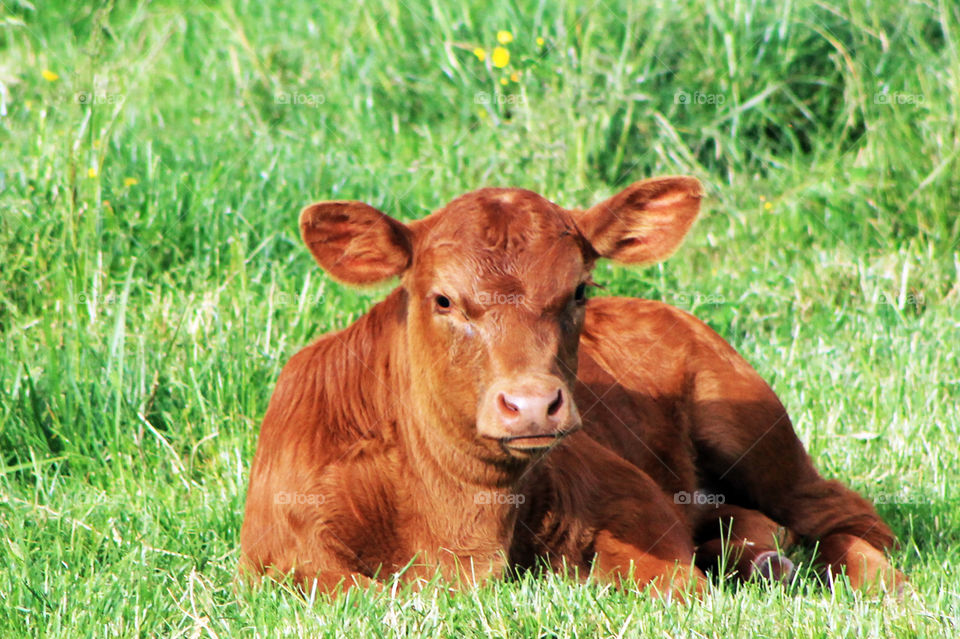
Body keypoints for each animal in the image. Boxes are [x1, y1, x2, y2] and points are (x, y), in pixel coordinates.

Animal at [238, 178, 900, 596]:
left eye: (579, 289)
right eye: (443, 299)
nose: (532, 404)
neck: (461, 526)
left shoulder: (636, 500)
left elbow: (666, 583)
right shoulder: (278, 556)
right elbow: (361, 592)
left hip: (752, 431)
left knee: (845, 515)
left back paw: (876, 582)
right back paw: (763, 560)